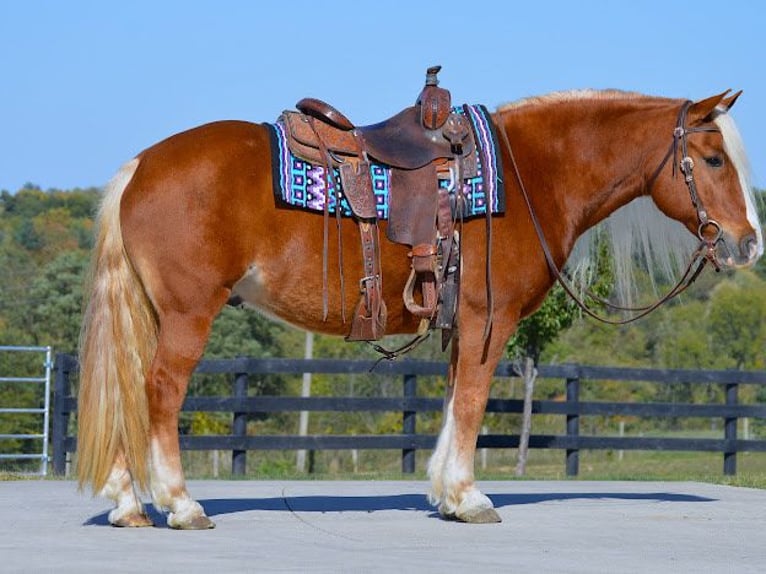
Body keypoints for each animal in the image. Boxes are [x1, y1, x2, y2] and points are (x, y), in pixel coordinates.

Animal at [76, 86, 760, 532]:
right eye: (713, 159)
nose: (749, 242)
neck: (529, 175)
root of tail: (141, 166)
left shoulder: (462, 325)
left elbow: (454, 401)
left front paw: (446, 496)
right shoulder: (489, 320)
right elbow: (474, 403)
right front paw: (469, 497)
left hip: (153, 314)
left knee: (127, 388)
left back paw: (128, 507)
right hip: (188, 315)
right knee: (160, 391)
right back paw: (180, 504)